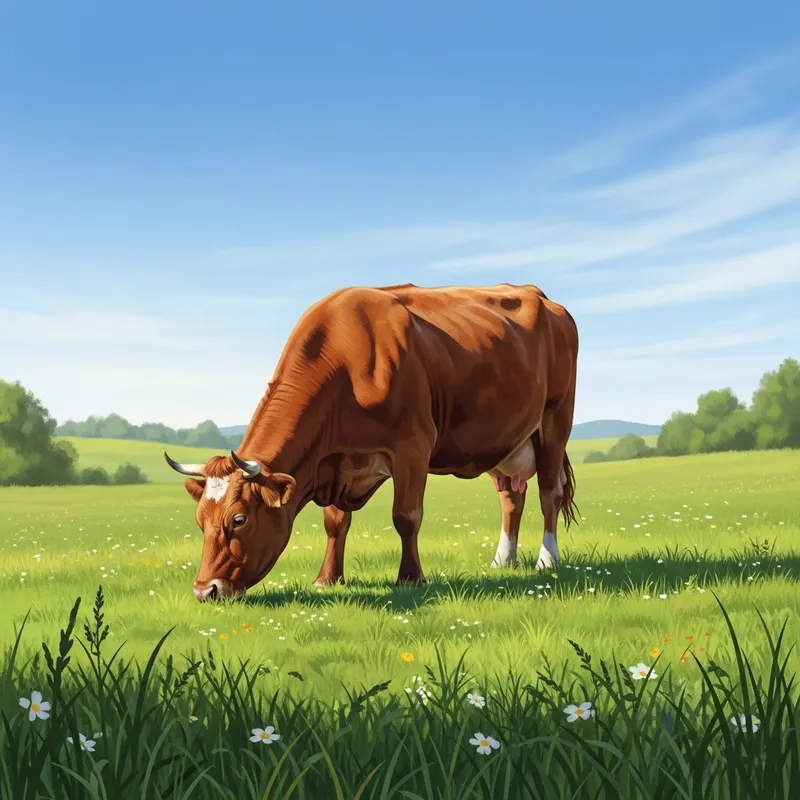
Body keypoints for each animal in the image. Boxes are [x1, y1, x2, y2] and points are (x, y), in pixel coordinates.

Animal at [164, 282, 579, 601]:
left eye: (239, 519)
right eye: (200, 520)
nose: (205, 590)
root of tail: (543, 296)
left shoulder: (413, 445)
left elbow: (406, 517)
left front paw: (410, 579)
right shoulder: (337, 459)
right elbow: (335, 522)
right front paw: (327, 578)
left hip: (555, 421)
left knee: (548, 492)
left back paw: (547, 559)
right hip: (505, 441)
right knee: (511, 497)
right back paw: (503, 561)